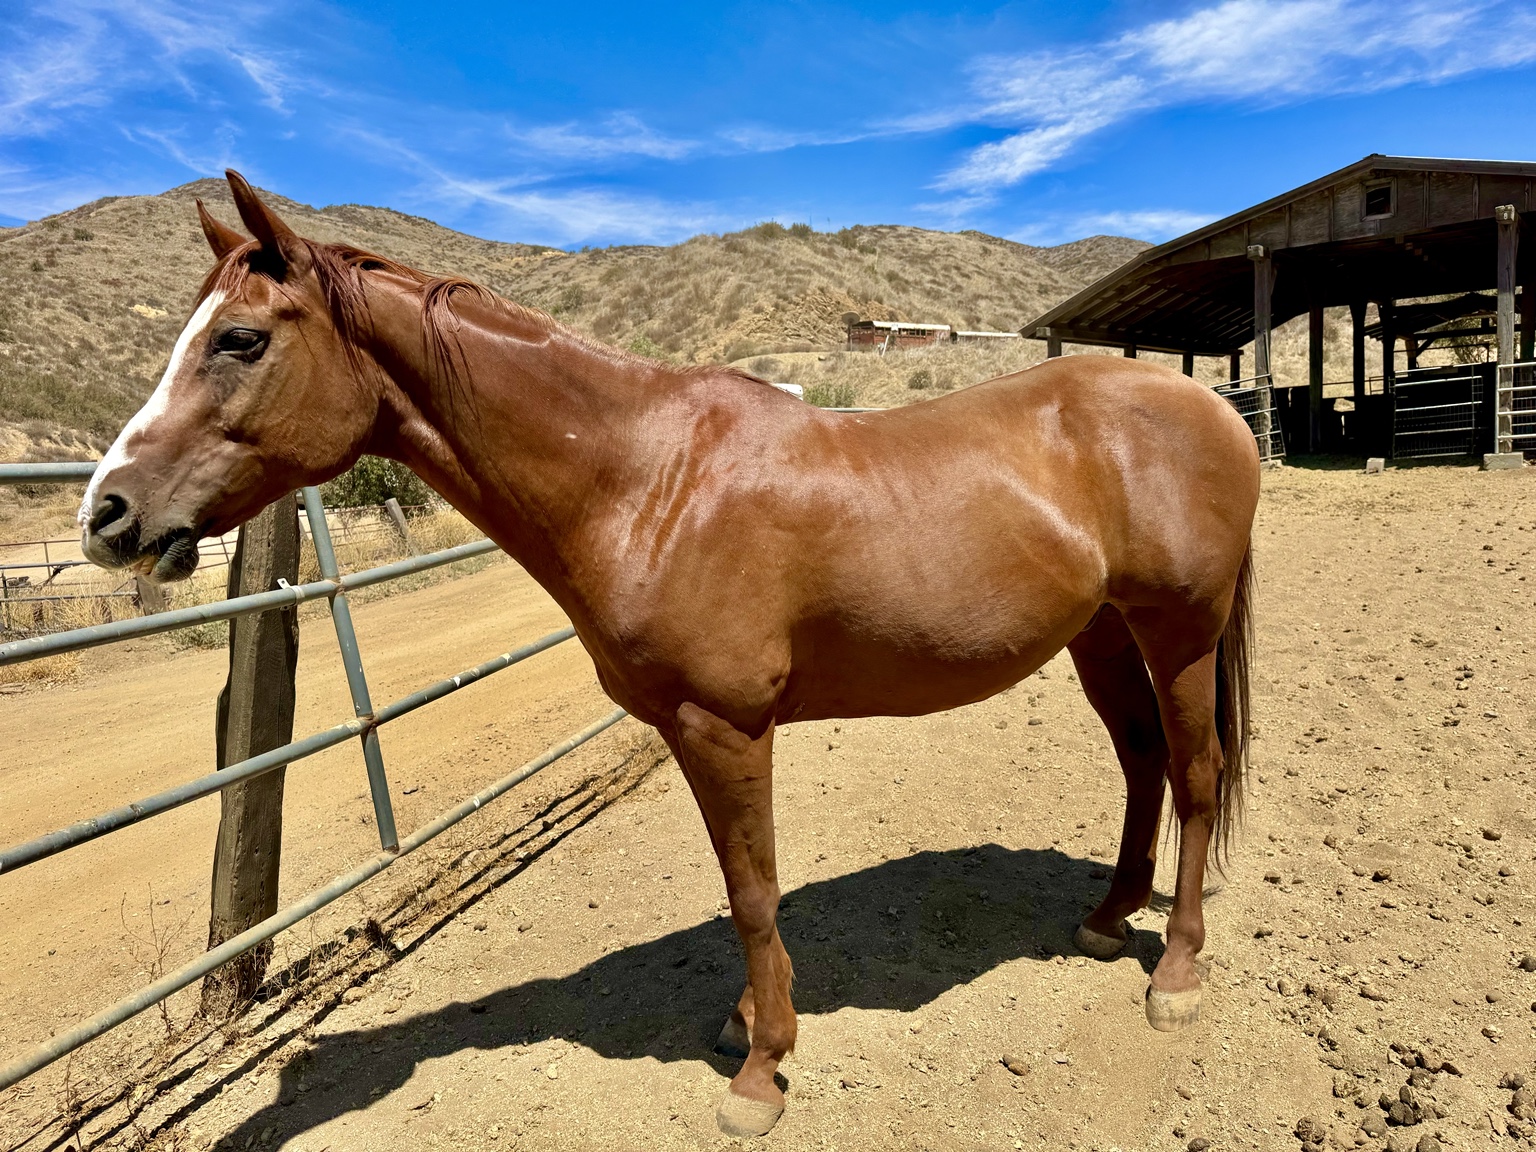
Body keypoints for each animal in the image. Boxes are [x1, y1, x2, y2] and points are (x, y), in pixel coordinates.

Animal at [80, 170, 1259, 1138]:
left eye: (239, 340)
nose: (107, 514)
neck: (644, 478)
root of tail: (1209, 402)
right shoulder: (696, 733)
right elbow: (747, 888)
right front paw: (749, 1024)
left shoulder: (724, 726)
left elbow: (754, 890)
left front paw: (762, 1072)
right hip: (1102, 633)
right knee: (1144, 764)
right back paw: (1106, 919)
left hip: (1180, 630)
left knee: (1196, 775)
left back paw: (1175, 971)